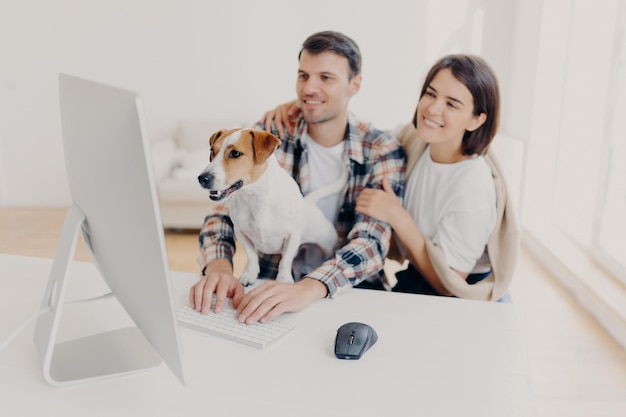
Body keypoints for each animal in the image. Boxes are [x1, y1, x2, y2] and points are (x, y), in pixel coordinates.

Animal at [196, 128, 346, 284]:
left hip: (327, 245)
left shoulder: (292, 236)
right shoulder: (241, 232)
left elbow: (285, 261)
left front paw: (283, 280)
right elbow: (251, 256)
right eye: (212, 151)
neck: (256, 199)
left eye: (235, 153)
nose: (202, 178)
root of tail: (309, 203)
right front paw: (250, 274)